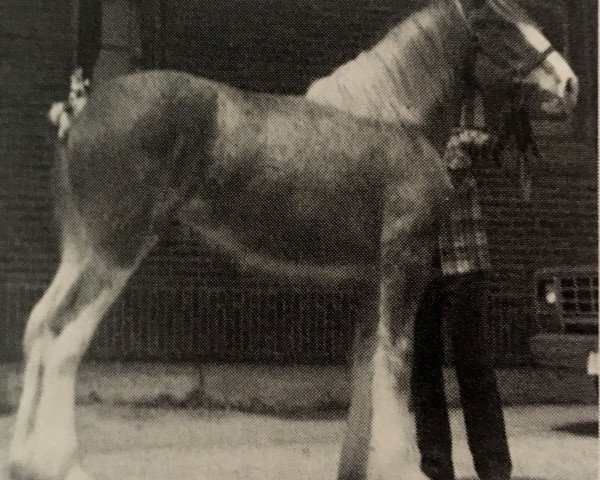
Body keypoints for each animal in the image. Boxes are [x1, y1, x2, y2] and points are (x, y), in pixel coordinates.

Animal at [8, 0, 576, 480]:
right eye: (494, 21)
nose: (569, 84)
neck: (395, 117)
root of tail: (79, 115)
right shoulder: (404, 268)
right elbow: (393, 367)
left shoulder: (372, 282)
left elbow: (366, 371)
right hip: (117, 252)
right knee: (65, 341)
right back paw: (62, 463)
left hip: (82, 252)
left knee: (38, 326)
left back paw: (20, 458)